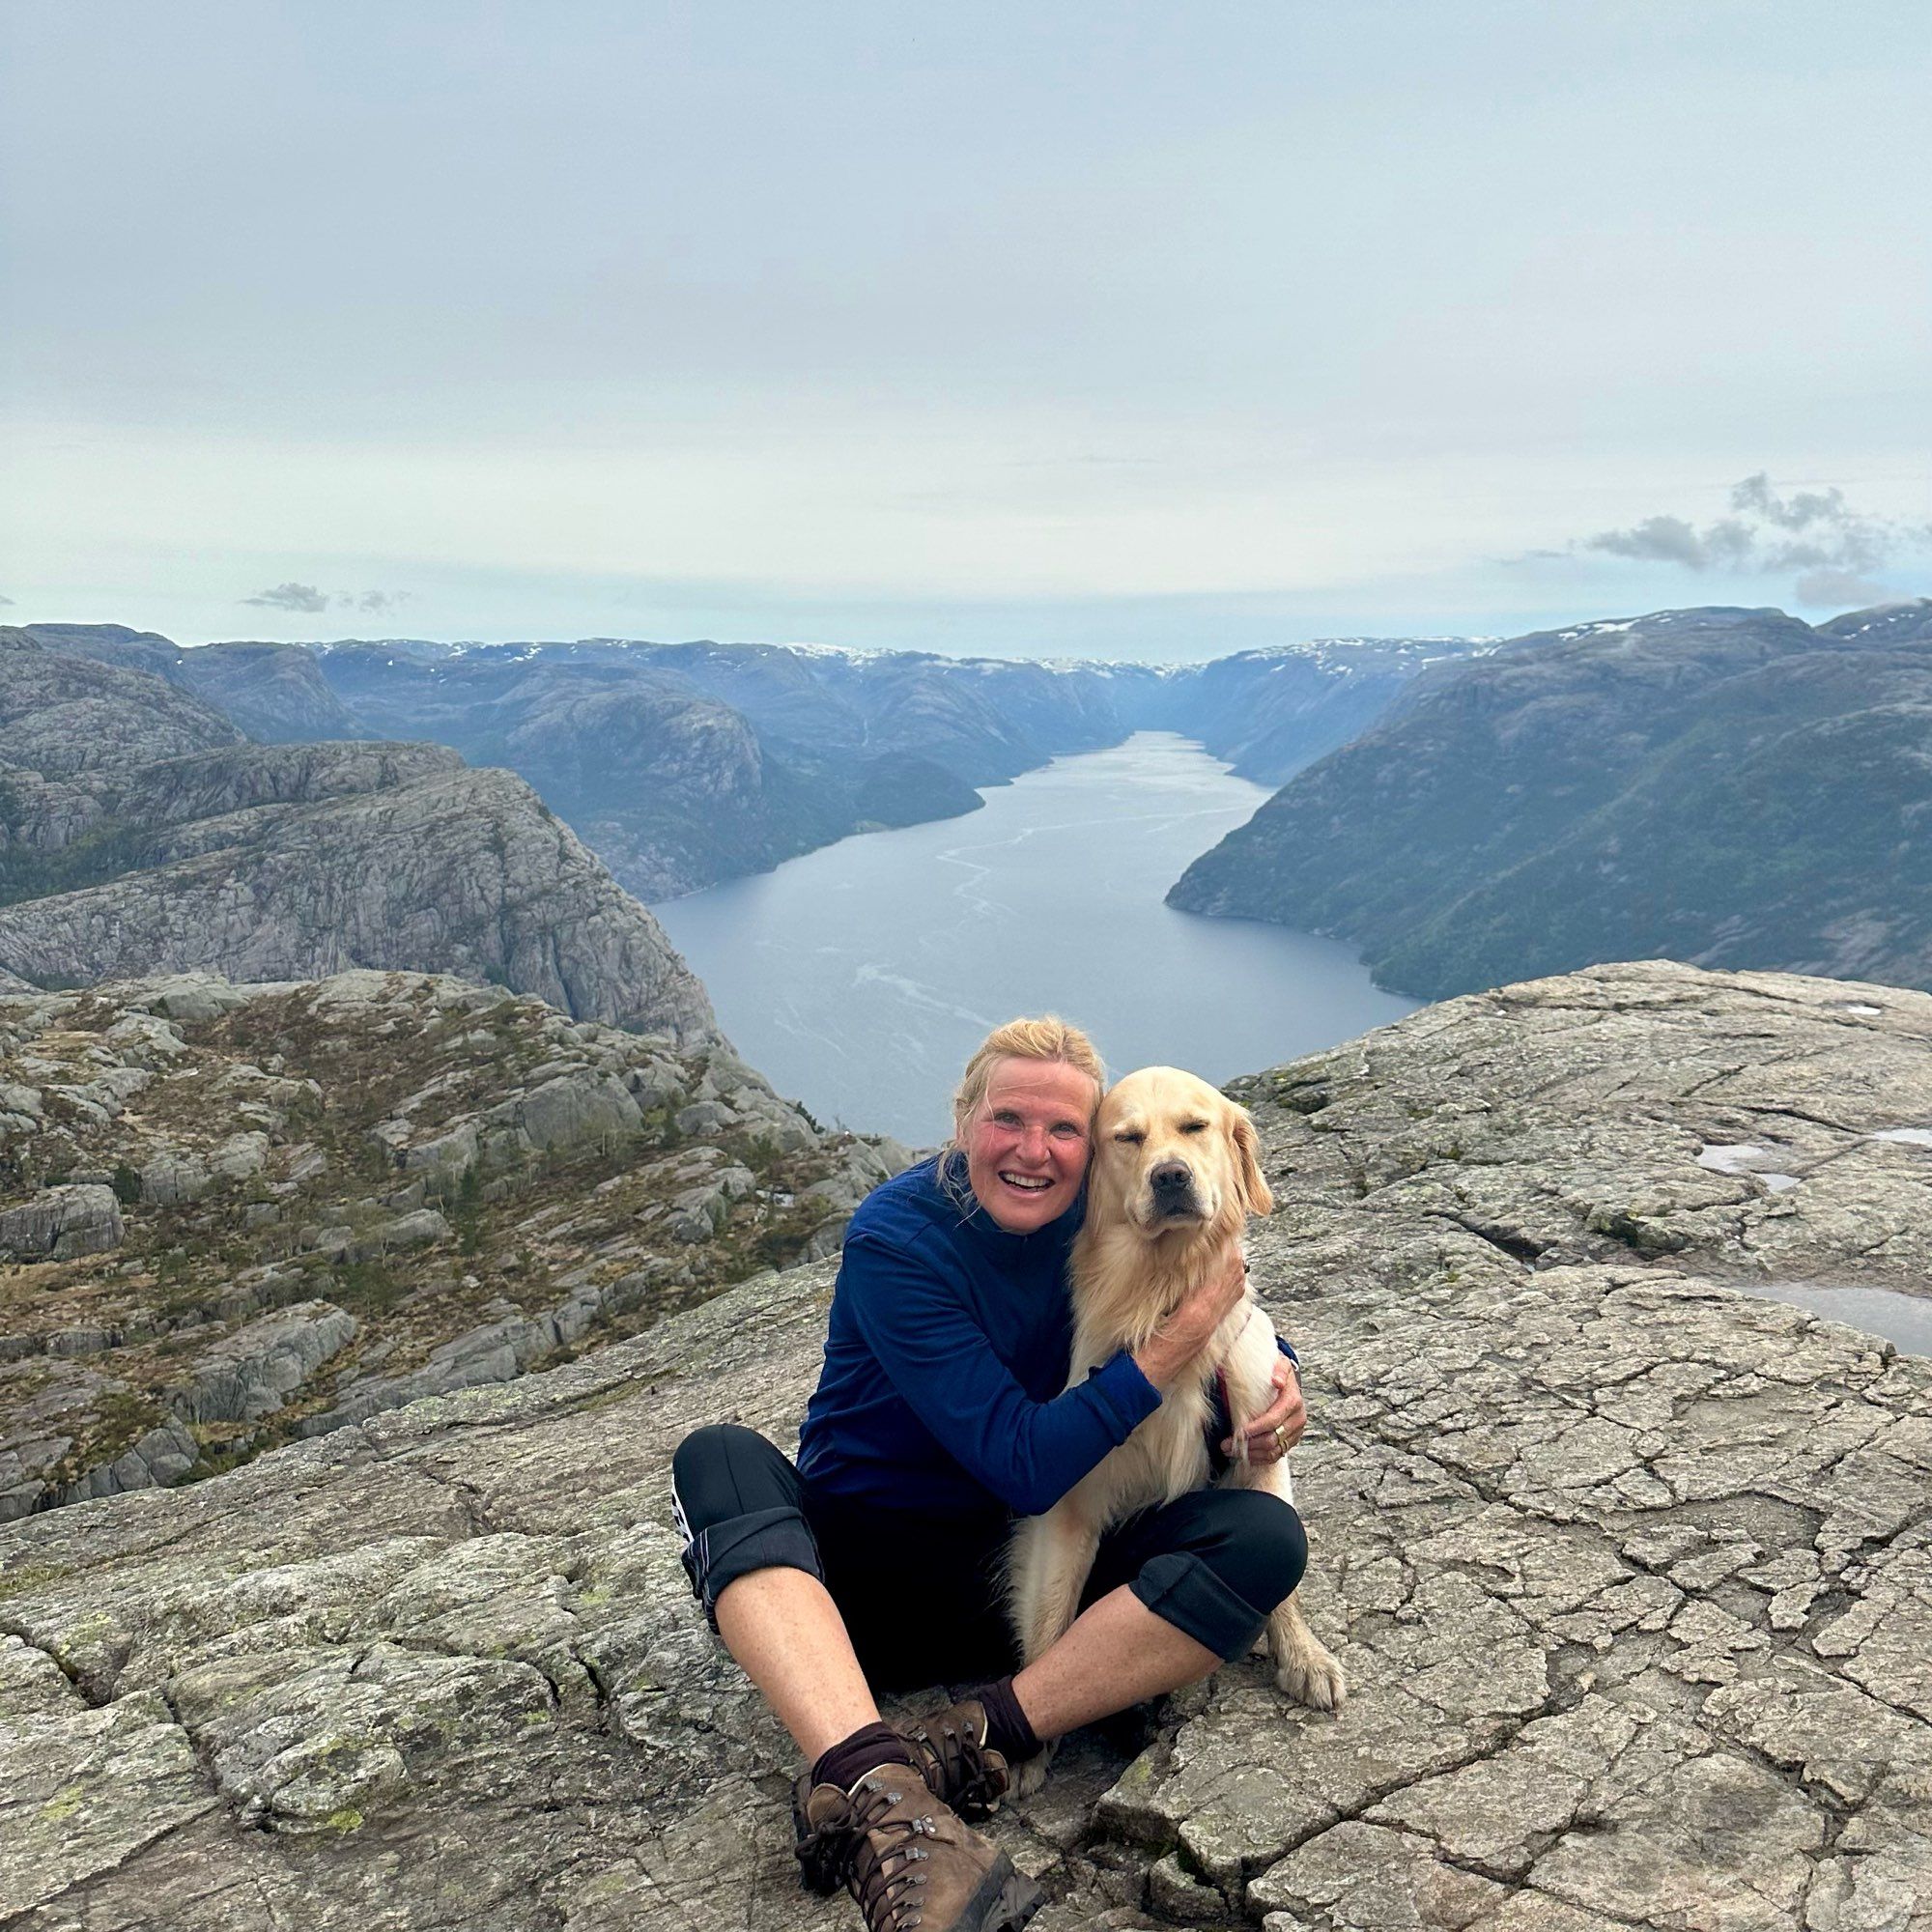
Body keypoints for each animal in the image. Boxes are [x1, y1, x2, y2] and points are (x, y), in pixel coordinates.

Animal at [1012, 1074, 1345, 1777]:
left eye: (1194, 1127)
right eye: (1127, 1138)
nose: (1170, 1176)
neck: (1166, 1289)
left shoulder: (1260, 1442)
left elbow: (1288, 1580)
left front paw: (1302, 1655)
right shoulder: (1070, 1500)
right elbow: (1051, 1619)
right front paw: (1026, 1748)